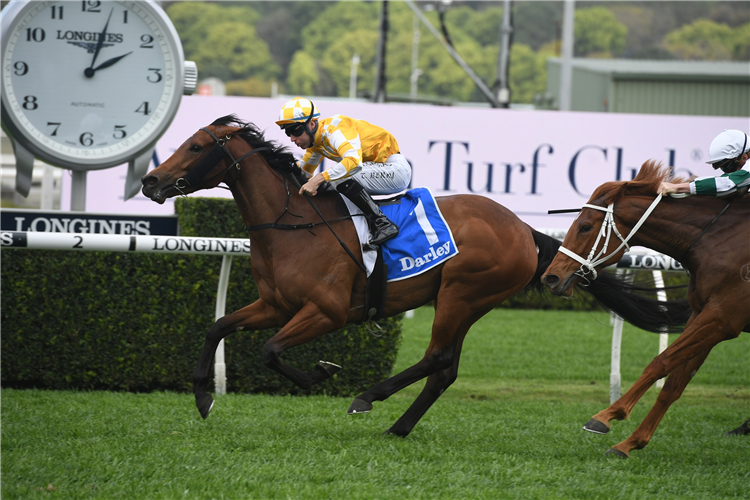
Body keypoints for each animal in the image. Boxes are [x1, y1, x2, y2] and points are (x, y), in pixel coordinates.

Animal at [141, 118, 692, 438]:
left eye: (196, 146)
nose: (150, 179)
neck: (292, 223)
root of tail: (523, 229)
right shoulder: (275, 304)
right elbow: (218, 327)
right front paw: (203, 395)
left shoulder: (326, 311)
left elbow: (271, 350)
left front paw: (322, 374)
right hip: (467, 301)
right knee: (445, 368)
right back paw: (399, 426)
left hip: (461, 293)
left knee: (437, 358)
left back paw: (369, 397)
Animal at [544, 161, 748, 458]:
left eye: (584, 226)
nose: (550, 277)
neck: (719, 240)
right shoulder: (703, 315)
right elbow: (675, 383)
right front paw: (631, 442)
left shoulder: (723, 318)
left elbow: (659, 363)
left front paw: (607, 415)